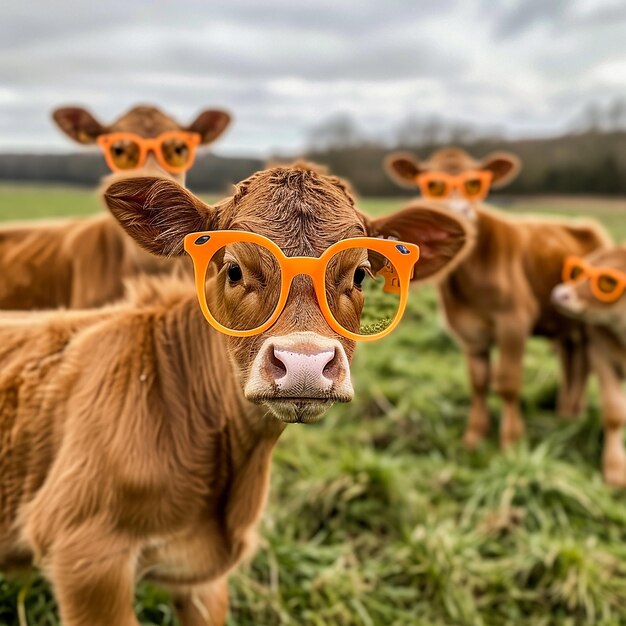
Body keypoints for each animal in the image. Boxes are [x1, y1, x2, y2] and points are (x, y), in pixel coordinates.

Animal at [386, 146, 608, 448]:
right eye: (432, 185)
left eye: (474, 184)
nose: (460, 211)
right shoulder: (467, 328)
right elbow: (479, 382)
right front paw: (474, 436)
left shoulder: (514, 320)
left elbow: (507, 382)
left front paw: (511, 440)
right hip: (566, 326)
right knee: (572, 361)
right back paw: (566, 413)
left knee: (584, 363)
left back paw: (573, 416)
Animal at [552, 246, 624, 486]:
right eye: (576, 273)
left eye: (608, 283)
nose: (559, 294)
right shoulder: (599, 353)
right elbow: (614, 412)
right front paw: (615, 470)